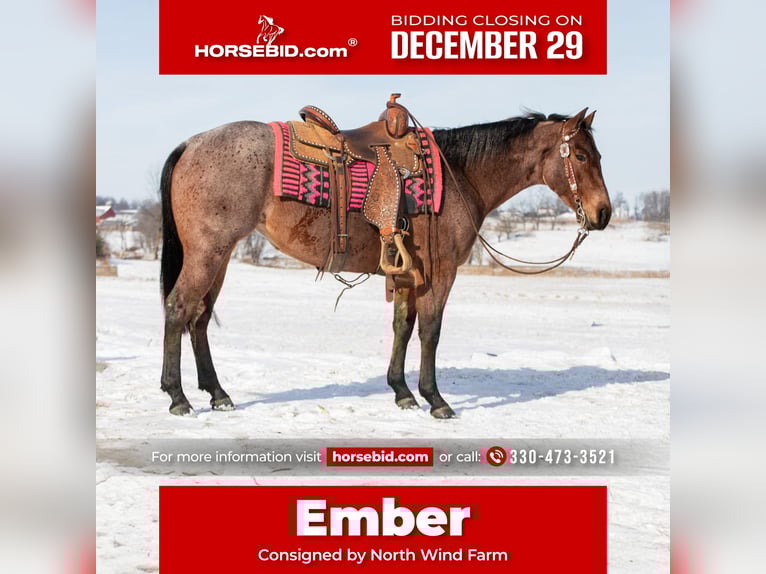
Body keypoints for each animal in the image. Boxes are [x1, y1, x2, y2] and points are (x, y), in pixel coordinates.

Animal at [158, 106, 611, 418]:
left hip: (220, 257)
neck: (461, 174)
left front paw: (402, 392)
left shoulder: (409, 274)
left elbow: (402, 328)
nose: (603, 213)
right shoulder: (439, 273)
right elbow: (430, 331)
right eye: (582, 157)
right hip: (208, 252)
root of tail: (190, 144)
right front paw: (435, 399)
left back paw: (218, 394)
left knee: (199, 319)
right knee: (178, 308)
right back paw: (177, 396)